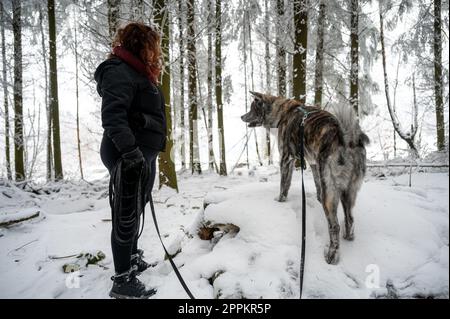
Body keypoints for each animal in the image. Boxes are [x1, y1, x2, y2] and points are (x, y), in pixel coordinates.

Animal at [241, 92, 368, 264]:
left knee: (334, 226)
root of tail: (348, 139)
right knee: (350, 218)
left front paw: (280, 200)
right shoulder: (314, 164)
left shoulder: (286, 159)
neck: (283, 112)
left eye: (252, 108)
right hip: (349, 190)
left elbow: (284, 184)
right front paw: (317, 198)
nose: (241, 116)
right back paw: (348, 237)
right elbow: (316, 184)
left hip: (331, 189)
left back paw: (332, 255)